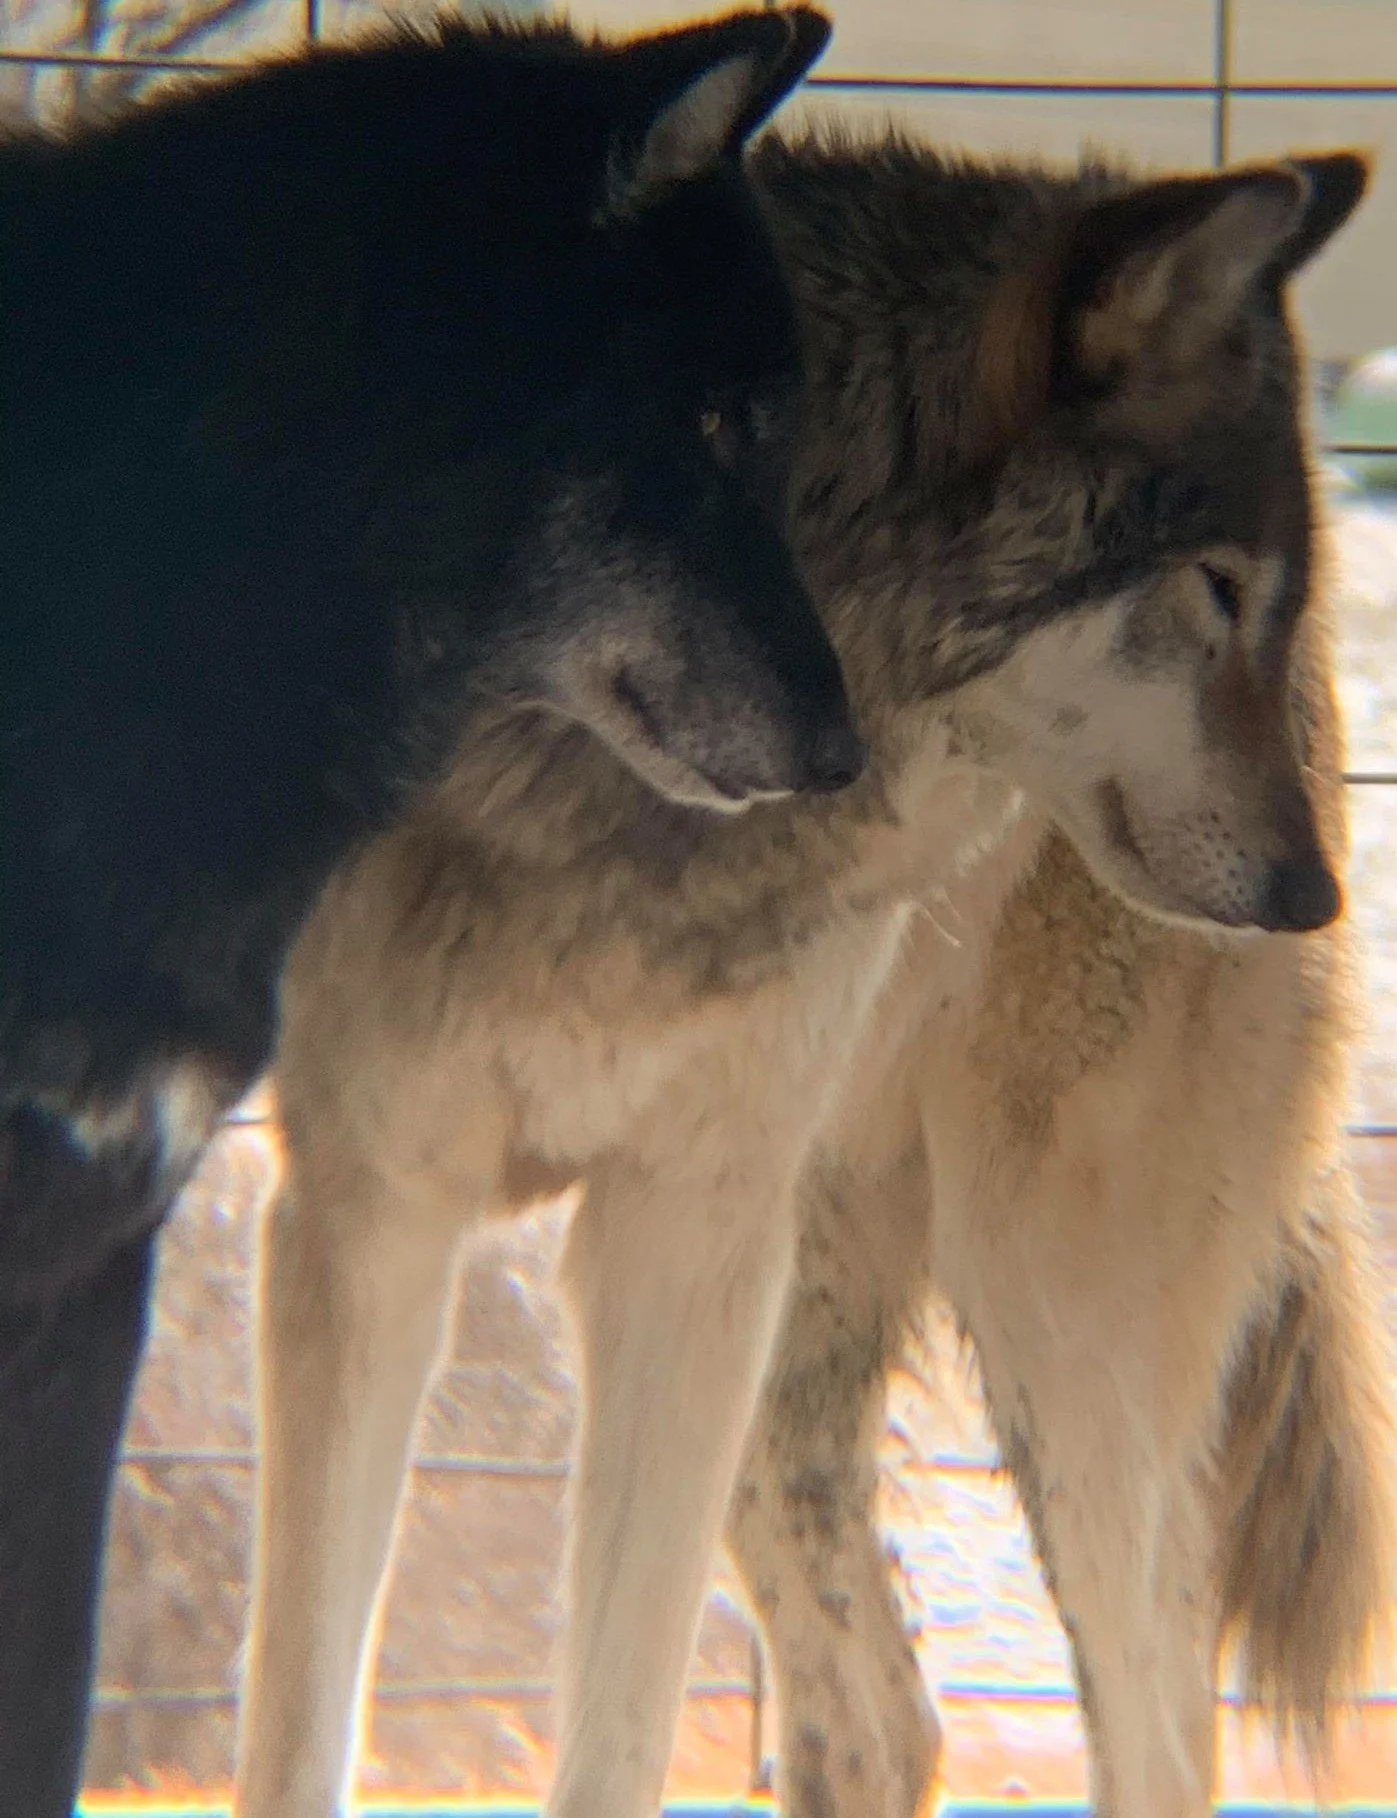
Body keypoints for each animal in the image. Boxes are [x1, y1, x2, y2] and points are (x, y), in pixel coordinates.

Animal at [235, 118, 1375, 1817]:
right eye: (1216, 585)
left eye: (1271, 591)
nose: (1306, 897)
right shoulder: (370, 1211)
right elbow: (299, 1727)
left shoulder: (675, 1227)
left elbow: (616, 1734)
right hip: (803, 1331)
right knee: (885, 1719)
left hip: (1042, 1325)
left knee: (1161, 1726)